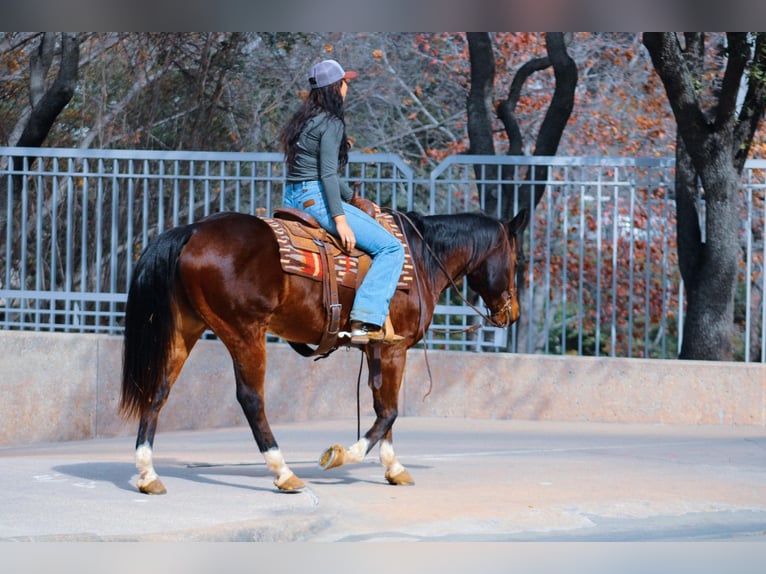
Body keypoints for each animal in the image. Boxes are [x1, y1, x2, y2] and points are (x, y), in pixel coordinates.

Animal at [121, 206, 528, 496]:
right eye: (517, 260)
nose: (512, 313)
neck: (419, 257)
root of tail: (191, 231)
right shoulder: (395, 349)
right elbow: (390, 412)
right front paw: (343, 455)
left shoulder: (378, 350)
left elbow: (384, 408)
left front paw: (393, 467)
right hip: (244, 333)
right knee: (251, 399)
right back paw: (284, 472)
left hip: (185, 331)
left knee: (158, 392)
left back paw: (147, 473)